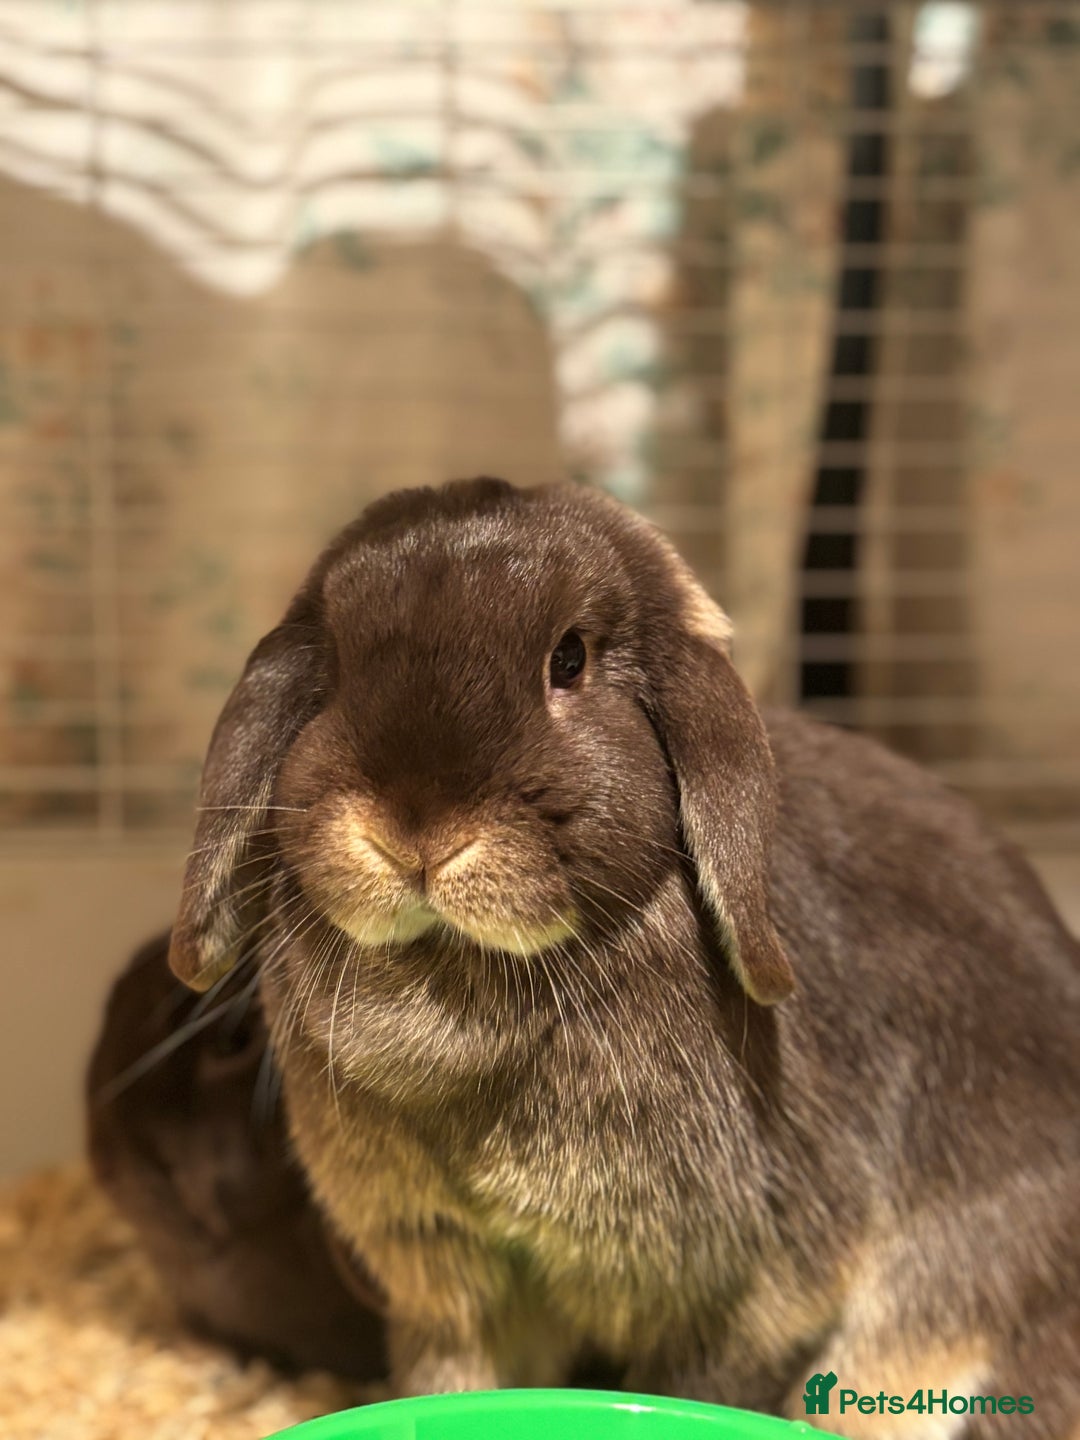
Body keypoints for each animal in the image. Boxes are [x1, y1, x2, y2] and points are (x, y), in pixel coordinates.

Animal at [167, 476, 1080, 1437]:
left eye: (568, 660)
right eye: (338, 668)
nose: (416, 830)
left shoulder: (739, 1291)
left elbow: (696, 1380)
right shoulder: (452, 1280)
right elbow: (457, 1376)